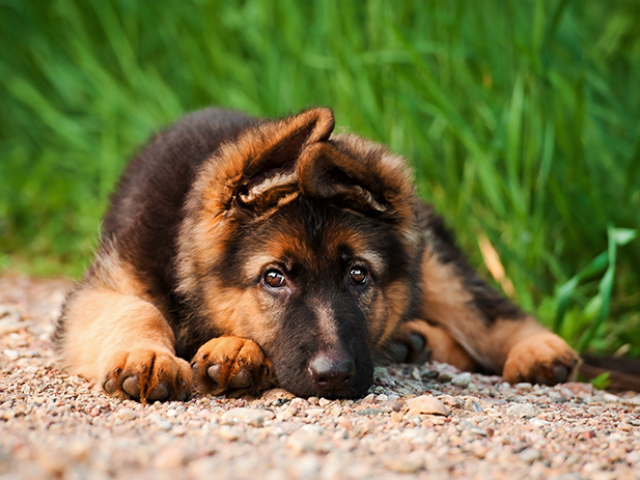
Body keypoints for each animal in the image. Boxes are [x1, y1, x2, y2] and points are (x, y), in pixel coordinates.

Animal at [52, 108, 576, 402]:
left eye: (359, 275)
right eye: (274, 278)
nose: (335, 376)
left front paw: (230, 349)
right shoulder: (105, 285)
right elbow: (137, 310)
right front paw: (150, 357)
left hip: (437, 266)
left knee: (486, 312)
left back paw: (537, 350)